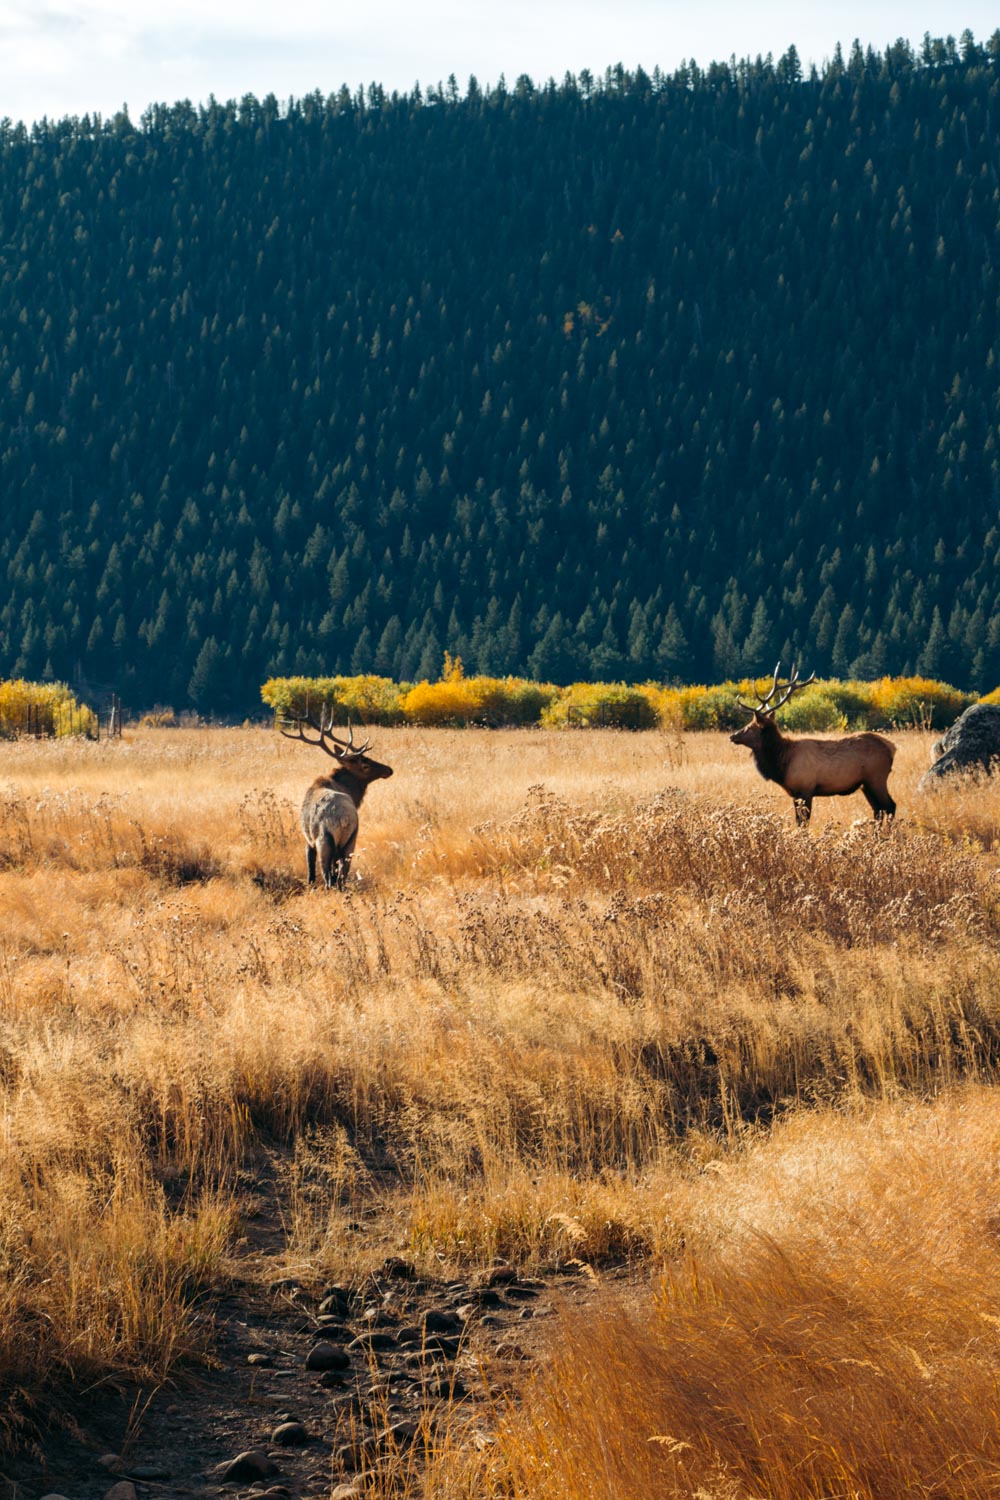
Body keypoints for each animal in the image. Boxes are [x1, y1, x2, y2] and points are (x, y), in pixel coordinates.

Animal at [281, 708, 395, 882]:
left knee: (328, 876)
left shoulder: (308, 840)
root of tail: (344, 818)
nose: (389, 769)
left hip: (324, 840)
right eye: (366, 764)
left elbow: (310, 871)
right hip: (351, 839)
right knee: (342, 874)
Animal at [728, 666, 899, 828]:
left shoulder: (805, 789)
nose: (733, 736)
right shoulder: (796, 794)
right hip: (865, 785)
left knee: (890, 806)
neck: (782, 764)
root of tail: (892, 748)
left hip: (877, 778)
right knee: (878, 809)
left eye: (750, 727)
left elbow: (803, 822)